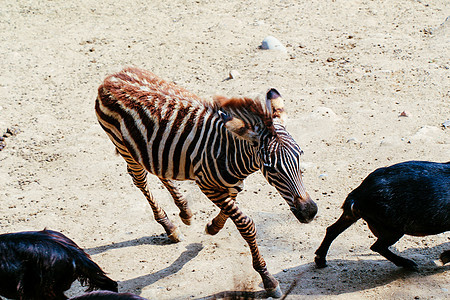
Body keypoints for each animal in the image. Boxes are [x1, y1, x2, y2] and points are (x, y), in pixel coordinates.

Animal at [96, 66, 318, 298]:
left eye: (300, 155)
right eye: (271, 168)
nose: (309, 212)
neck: (232, 153)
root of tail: (112, 77)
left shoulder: (233, 184)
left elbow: (229, 209)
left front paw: (213, 227)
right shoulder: (207, 186)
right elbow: (245, 223)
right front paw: (268, 280)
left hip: (151, 149)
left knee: (160, 169)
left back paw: (184, 211)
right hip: (125, 148)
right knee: (139, 179)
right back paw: (169, 226)